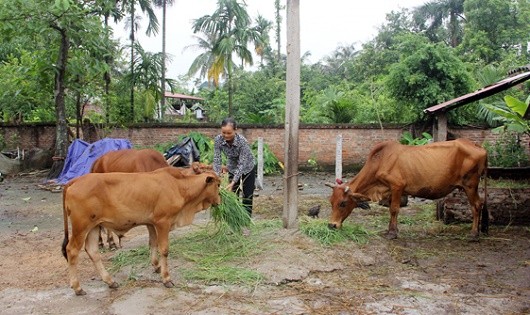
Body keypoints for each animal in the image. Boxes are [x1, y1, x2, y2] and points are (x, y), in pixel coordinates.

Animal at [60, 168, 220, 296]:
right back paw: (78, 287)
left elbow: (152, 244)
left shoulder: (151, 223)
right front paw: (166, 278)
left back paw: (110, 281)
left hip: (94, 227)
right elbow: (164, 249)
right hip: (81, 227)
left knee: (92, 251)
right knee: (72, 250)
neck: (178, 186)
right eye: (218, 184)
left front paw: (156, 266)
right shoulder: (163, 222)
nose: (219, 201)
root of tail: (74, 181)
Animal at [326, 139, 486, 241]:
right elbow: (391, 210)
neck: (379, 162)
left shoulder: (397, 186)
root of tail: (479, 146)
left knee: (476, 205)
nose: (331, 225)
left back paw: (473, 234)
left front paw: (392, 233)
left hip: (470, 185)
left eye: (343, 203)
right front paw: (390, 230)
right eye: (331, 202)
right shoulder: (391, 190)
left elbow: (394, 209)